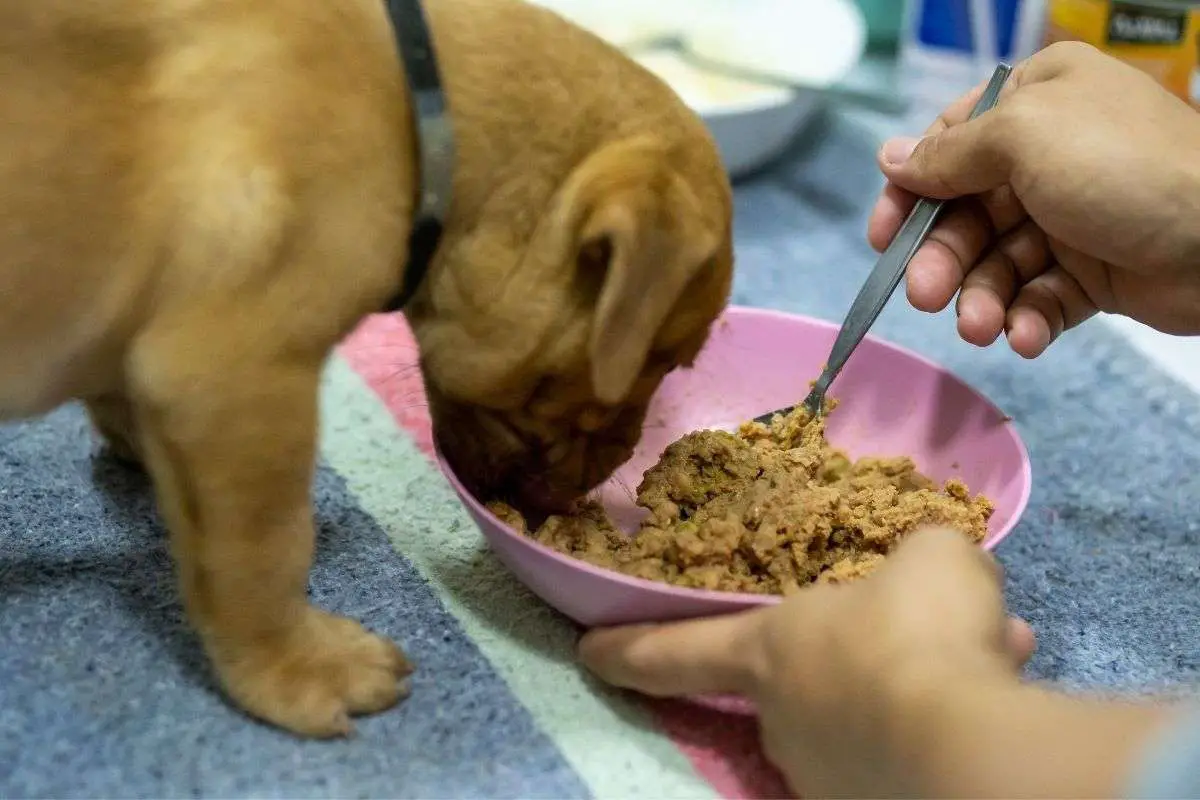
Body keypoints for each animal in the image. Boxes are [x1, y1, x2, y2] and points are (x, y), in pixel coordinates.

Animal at [0, 0, 729, 738]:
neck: (425, 114)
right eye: (664, 358)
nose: (624, 460)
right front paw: (297, 666)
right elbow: (262, 552)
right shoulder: (232, 383)